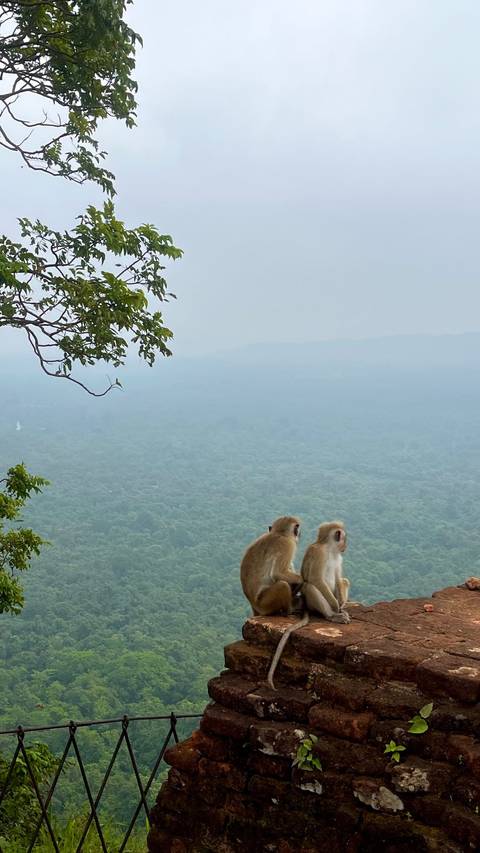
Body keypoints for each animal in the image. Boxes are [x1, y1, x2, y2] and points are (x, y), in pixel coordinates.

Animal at [266, 521, 350, 689]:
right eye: (344, 538)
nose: (345, 546)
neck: (330, 550)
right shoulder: (319, 554)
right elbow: (316, 579)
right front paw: (335, 607)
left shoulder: (338, 558)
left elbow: (339, 579)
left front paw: (341, 606)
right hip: (311, 602)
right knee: (311, 587)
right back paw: (332, 616)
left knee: (344, 581)